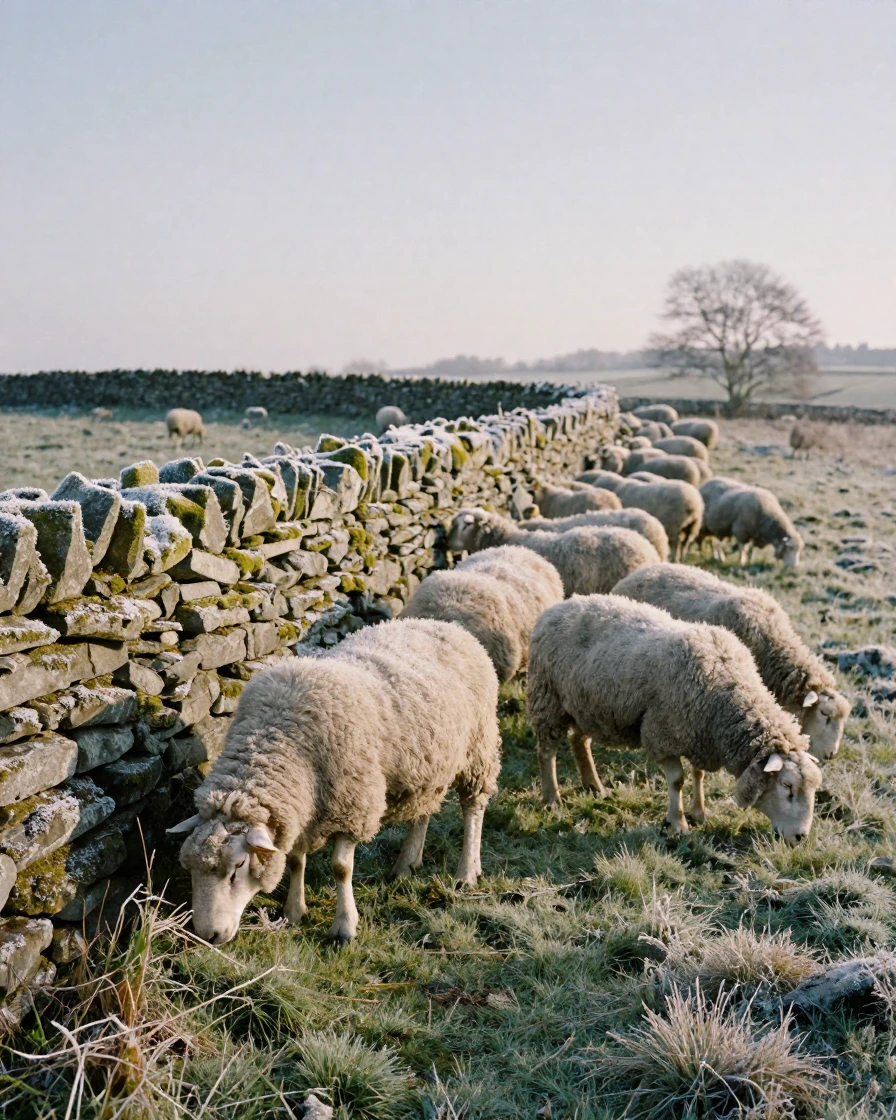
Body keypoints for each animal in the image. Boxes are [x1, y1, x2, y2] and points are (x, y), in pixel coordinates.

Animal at [169, 618, 501, 945]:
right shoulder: (301, 809)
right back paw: (407, 864)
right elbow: (295, 861)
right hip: (428, 765)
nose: (208, 935)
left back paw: (467, 872)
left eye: (238, 866)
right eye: (190, 867)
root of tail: (443, 624)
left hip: (478, 749)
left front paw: (344, 927)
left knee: (473, 808)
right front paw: (293, 911)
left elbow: (340, 869)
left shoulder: (353, 806)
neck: (279, 735)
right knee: (423, 810)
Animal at [527, 595, 821, 842]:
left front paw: (699, 812)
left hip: (587, 705)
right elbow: (677, 780)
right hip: (548, 698)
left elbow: (698, 774)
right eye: (786, 785)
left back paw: (594, 786)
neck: (726, 690)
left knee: (579, 740)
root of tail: (560, 606)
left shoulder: (698, 735)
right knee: (546, 750)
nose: (801, 837)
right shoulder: (662, 734)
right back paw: (552, 797)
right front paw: (677, 824)